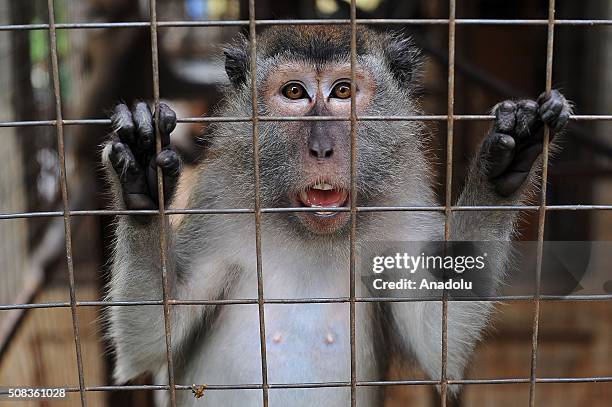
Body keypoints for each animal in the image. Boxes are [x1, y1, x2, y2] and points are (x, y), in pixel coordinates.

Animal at [101, 26, 572, 407]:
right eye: (295, 93)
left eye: (343, 91)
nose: (322, 147)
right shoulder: (217, 203)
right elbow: (147, 345)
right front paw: (142, 184)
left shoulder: (403, 207)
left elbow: (439, 344)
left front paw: (504, 166)